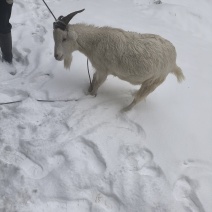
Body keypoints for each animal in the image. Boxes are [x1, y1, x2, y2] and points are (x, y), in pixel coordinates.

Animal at [52, 9, 184, 110]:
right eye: (54, 38)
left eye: (64, 38)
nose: (57, 56)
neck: (95, 42)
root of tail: (174, 62)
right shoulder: (99, 68)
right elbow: (93, 79)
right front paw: (87, 91)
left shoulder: (104, 70)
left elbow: (97, 84)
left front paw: (90, 96)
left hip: (153, 81)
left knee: (138, 99)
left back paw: (124, 111)